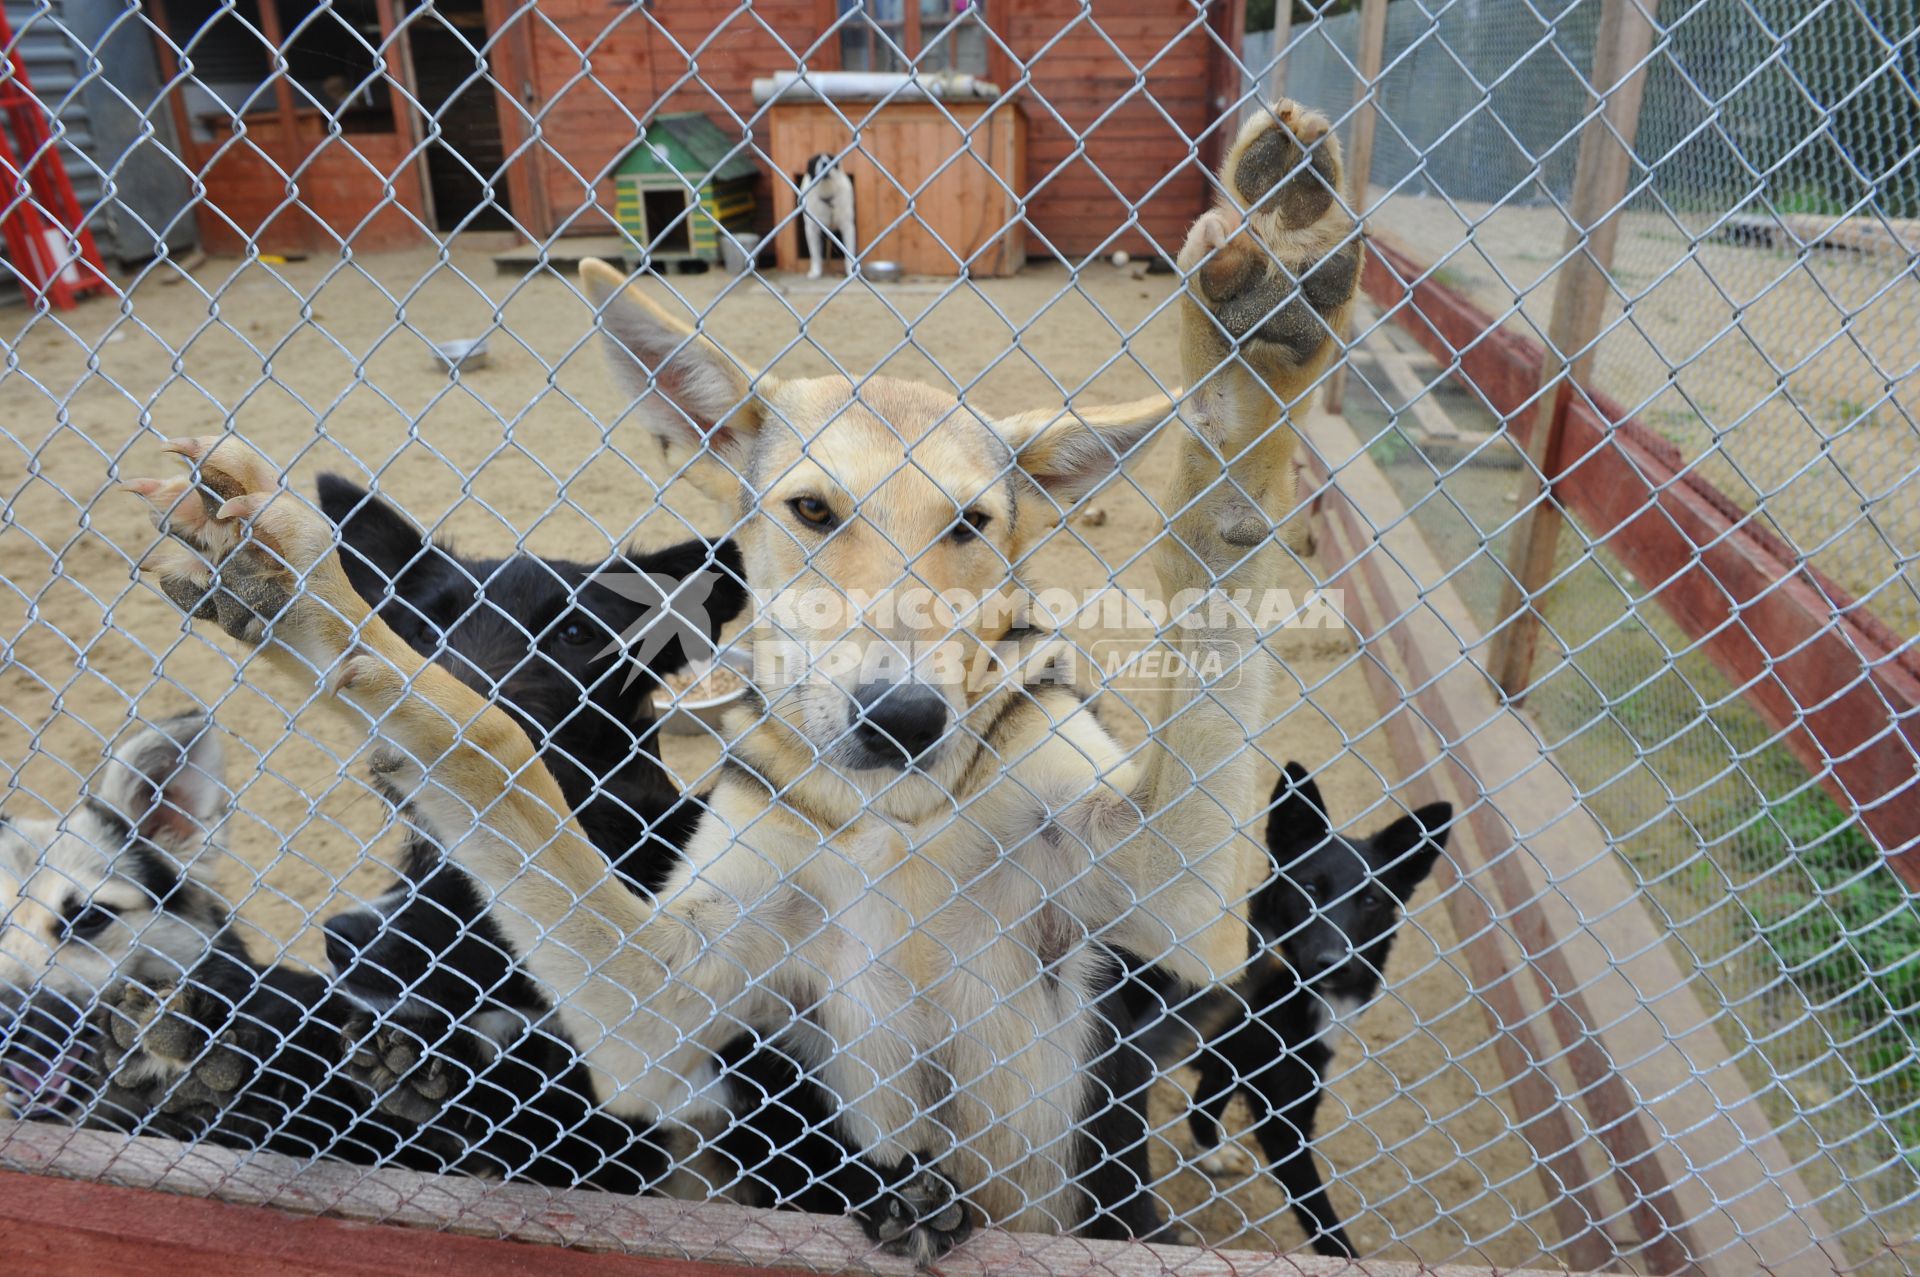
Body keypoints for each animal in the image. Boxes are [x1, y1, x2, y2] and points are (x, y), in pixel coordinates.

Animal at [127, 96, 1367, 1252]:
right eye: (811, 510)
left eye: (972, 524)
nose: (904, 716)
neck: (894, 813)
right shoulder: (665, 1010)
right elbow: (489, 748)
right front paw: (296, 591)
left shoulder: (1178, 907)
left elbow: (1224, 534)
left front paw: (1261, 336)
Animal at [1136, 756, 1443, 1252]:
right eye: (1311, 888)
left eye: (1371, 900)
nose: (1334, 963)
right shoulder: (1284, 1122)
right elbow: (1325, 1225)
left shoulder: (1236, 1066)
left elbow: (1205, 1107)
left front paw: (1210, 1153)